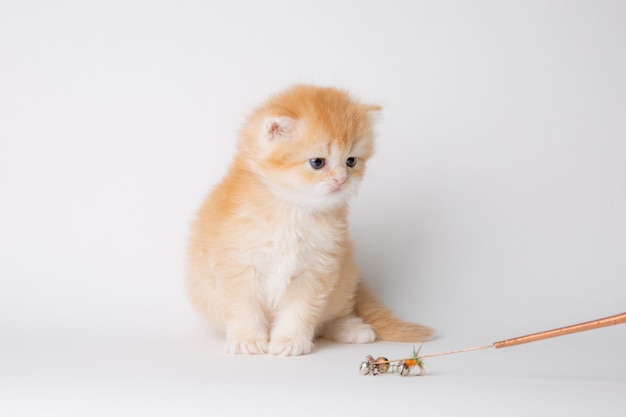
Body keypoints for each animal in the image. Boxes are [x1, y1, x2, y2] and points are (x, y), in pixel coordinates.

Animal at [184, 84, 428, 354]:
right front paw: (247, 339)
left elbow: (300, 311)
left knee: (333, 316)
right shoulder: (239, 268)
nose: (341, 179)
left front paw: (289, 341)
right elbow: (244, 309)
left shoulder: (316, 270)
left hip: (344, 280)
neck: (292, 210)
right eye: (317, 162)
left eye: (351, 161)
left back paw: (351, 328)